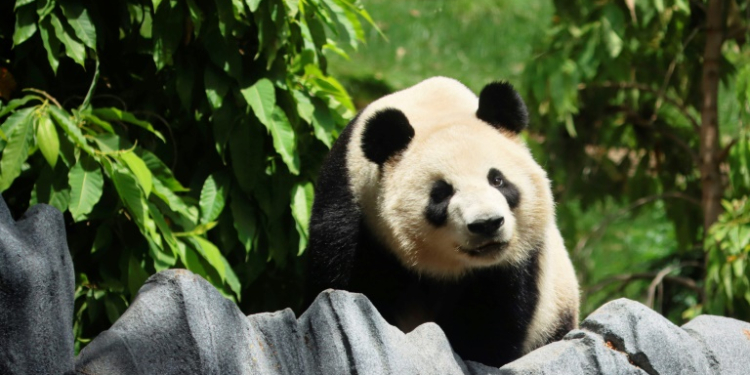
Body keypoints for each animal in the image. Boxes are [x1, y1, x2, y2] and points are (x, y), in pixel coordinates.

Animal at [306, 75, 580, 368]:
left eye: (497, 180)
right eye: (442, 193)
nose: (486, 224)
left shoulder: (516, 264)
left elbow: (490, 323)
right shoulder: (352, 209)